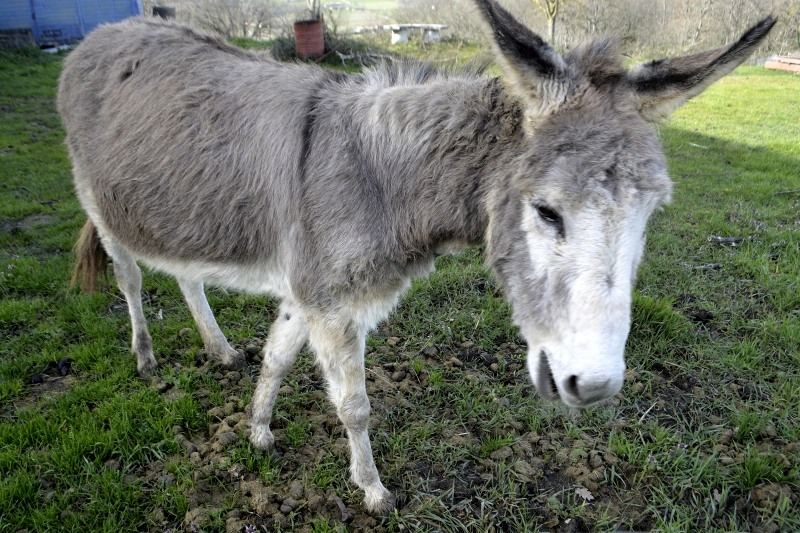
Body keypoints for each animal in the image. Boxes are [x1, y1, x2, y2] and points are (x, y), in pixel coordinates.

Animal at [57, 0, 775, 513]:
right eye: (547, 212)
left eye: (649, 215)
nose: (594, 387)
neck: (380, 176)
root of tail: (104, 34)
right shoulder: (330, 305)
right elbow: (354, 406)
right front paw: (372, 490)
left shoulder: (308, 291)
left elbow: (277, 356)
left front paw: (257, 429)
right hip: (101, 202)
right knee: (129, 277)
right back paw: (145, 355)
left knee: (187, 278)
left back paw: (217, 346)